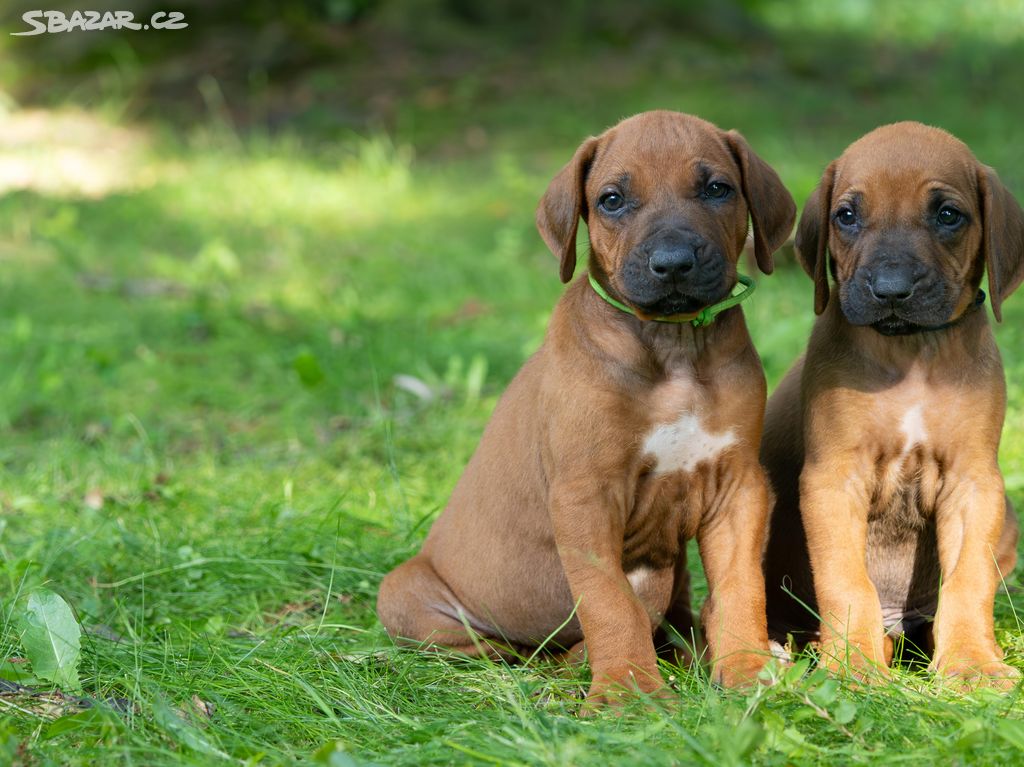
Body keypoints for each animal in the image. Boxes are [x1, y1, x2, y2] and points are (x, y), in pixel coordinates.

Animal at [380, 110, 794, 704]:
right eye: (612, 200)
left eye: (717, 189)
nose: (673, 264)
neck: (671, 346)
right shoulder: (585, 495)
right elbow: (609, 600)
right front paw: (628, 691)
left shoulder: (737, 485)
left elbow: (741, 587)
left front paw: (745, 670)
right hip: (407, 595)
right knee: (507, 650)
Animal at [761, 122, 1024, 684]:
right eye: (846, 215)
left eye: (948, 215)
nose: (891, 290)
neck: (911, 353)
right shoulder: (834, 481)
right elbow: (846, 581)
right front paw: (854, 664)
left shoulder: (974, 483)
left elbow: (969, 581)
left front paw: (972, 663)